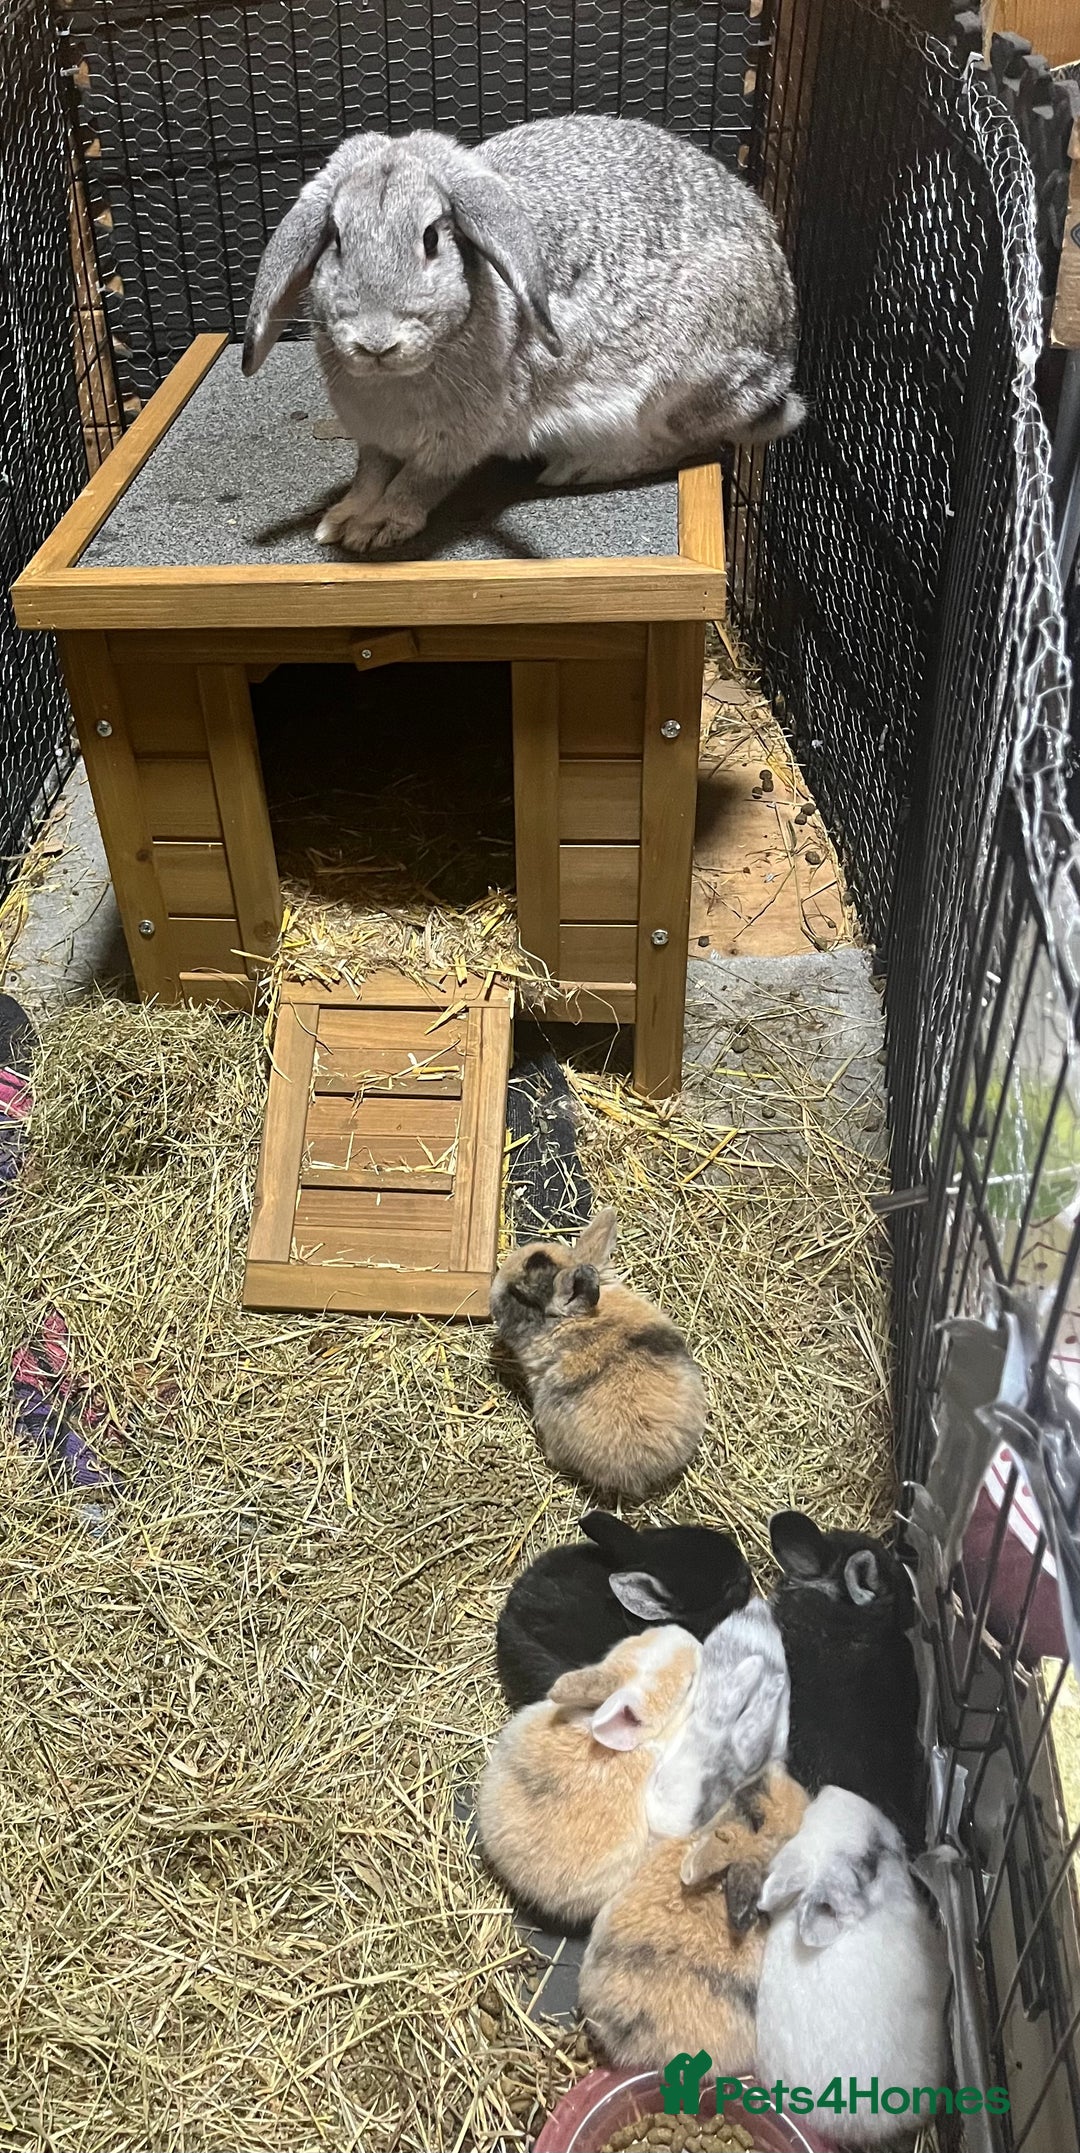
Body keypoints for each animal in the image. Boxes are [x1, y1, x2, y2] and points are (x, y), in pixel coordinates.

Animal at [241, 114, 803, 553]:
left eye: (431, 238)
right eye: (335, 238)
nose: (376, 342)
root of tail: (781, 364)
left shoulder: (459, 438)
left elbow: (419, 482)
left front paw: (378, 526)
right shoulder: (373, 437)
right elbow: (369, 474)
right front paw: (341, 519)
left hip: (682, 390)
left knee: (693, 444)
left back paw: (577, 468)